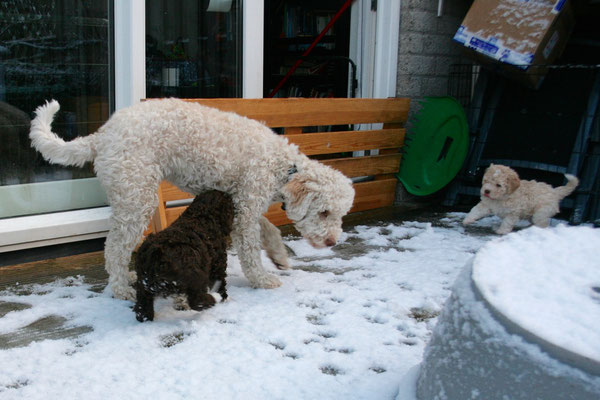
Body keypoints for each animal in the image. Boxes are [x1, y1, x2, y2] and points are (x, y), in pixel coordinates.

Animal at [30, 99, 354, 300]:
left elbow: (269, 228)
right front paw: (263, 280)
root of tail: (102, 134)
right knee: (115, 248)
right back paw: (121, 288)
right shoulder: (247, 208)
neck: (283, 166)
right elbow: (250, 252)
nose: (331, 242)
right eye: (324, 212)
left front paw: (279, 256)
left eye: (339, 215)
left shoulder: (244, 202)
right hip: (136, 196)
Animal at [134, 190, 234, 322]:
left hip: (143, 282)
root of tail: (156, 255)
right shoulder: (218, 263)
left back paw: (145, 317)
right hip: (194, 276)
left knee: (142, 304)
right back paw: (212, 299)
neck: (203, 215)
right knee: (197, 300)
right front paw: (223, 298)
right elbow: (221, 282)